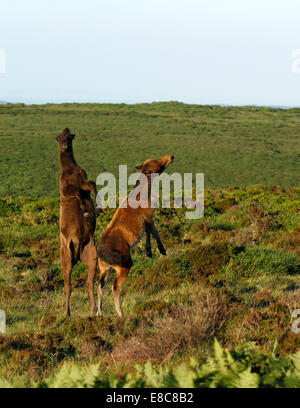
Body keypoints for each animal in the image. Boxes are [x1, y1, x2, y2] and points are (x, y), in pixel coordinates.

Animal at [97, 155, 175, 318]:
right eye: (156, 162)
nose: (170, 156)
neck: (143, 193)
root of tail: (102, 255)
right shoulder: (149, 215)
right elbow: (155, 232)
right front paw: (162, 250)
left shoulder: (145, 222)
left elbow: (148, 233)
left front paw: (149, 251)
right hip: (124, 265)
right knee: (115, 287)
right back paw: (120, 313)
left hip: (104, 269)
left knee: (100, 287)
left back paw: (99, 312)